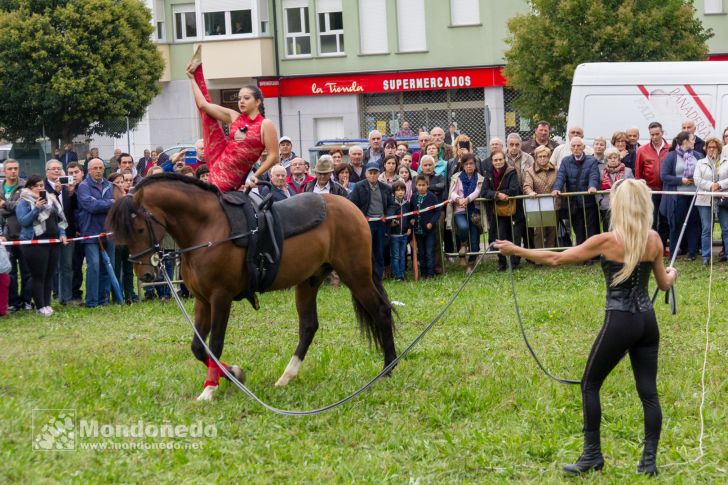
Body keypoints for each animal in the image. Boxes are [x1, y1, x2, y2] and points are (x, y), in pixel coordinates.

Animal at [110, 174, 398, 400]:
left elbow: (214, 344)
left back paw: (388, 369)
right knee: (309, 326)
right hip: (309, 281)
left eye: (139, 228)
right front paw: (234, 373)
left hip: (356, 275)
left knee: (381, 313)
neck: (208, 227)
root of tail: (352, 208)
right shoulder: (202, 300)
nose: (145, 273)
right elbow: (198, 348)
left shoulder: (220, 298)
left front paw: (210, 389)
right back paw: (287, 376)